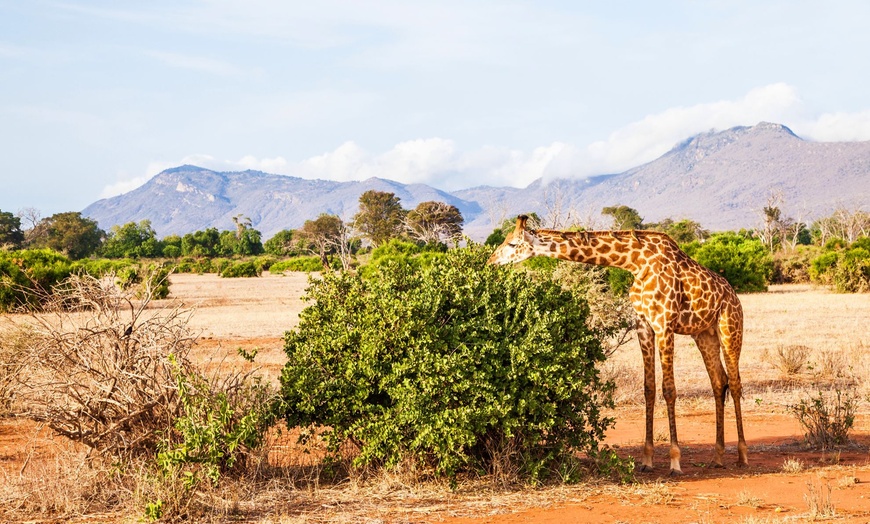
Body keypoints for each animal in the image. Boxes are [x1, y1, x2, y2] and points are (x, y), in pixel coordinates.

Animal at [490, 215, 748, 472]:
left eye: (512, 243)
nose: (491, 261)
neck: (635, 262)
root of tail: (733, 294)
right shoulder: (643, 324)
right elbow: (649, 388)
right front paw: (646, 459)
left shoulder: (664, 324)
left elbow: (669, 389)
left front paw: (675, 461)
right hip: (705, 334)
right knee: (719, 382)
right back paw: (717, 456)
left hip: (730, 327)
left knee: (735, 383)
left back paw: (742, 455)